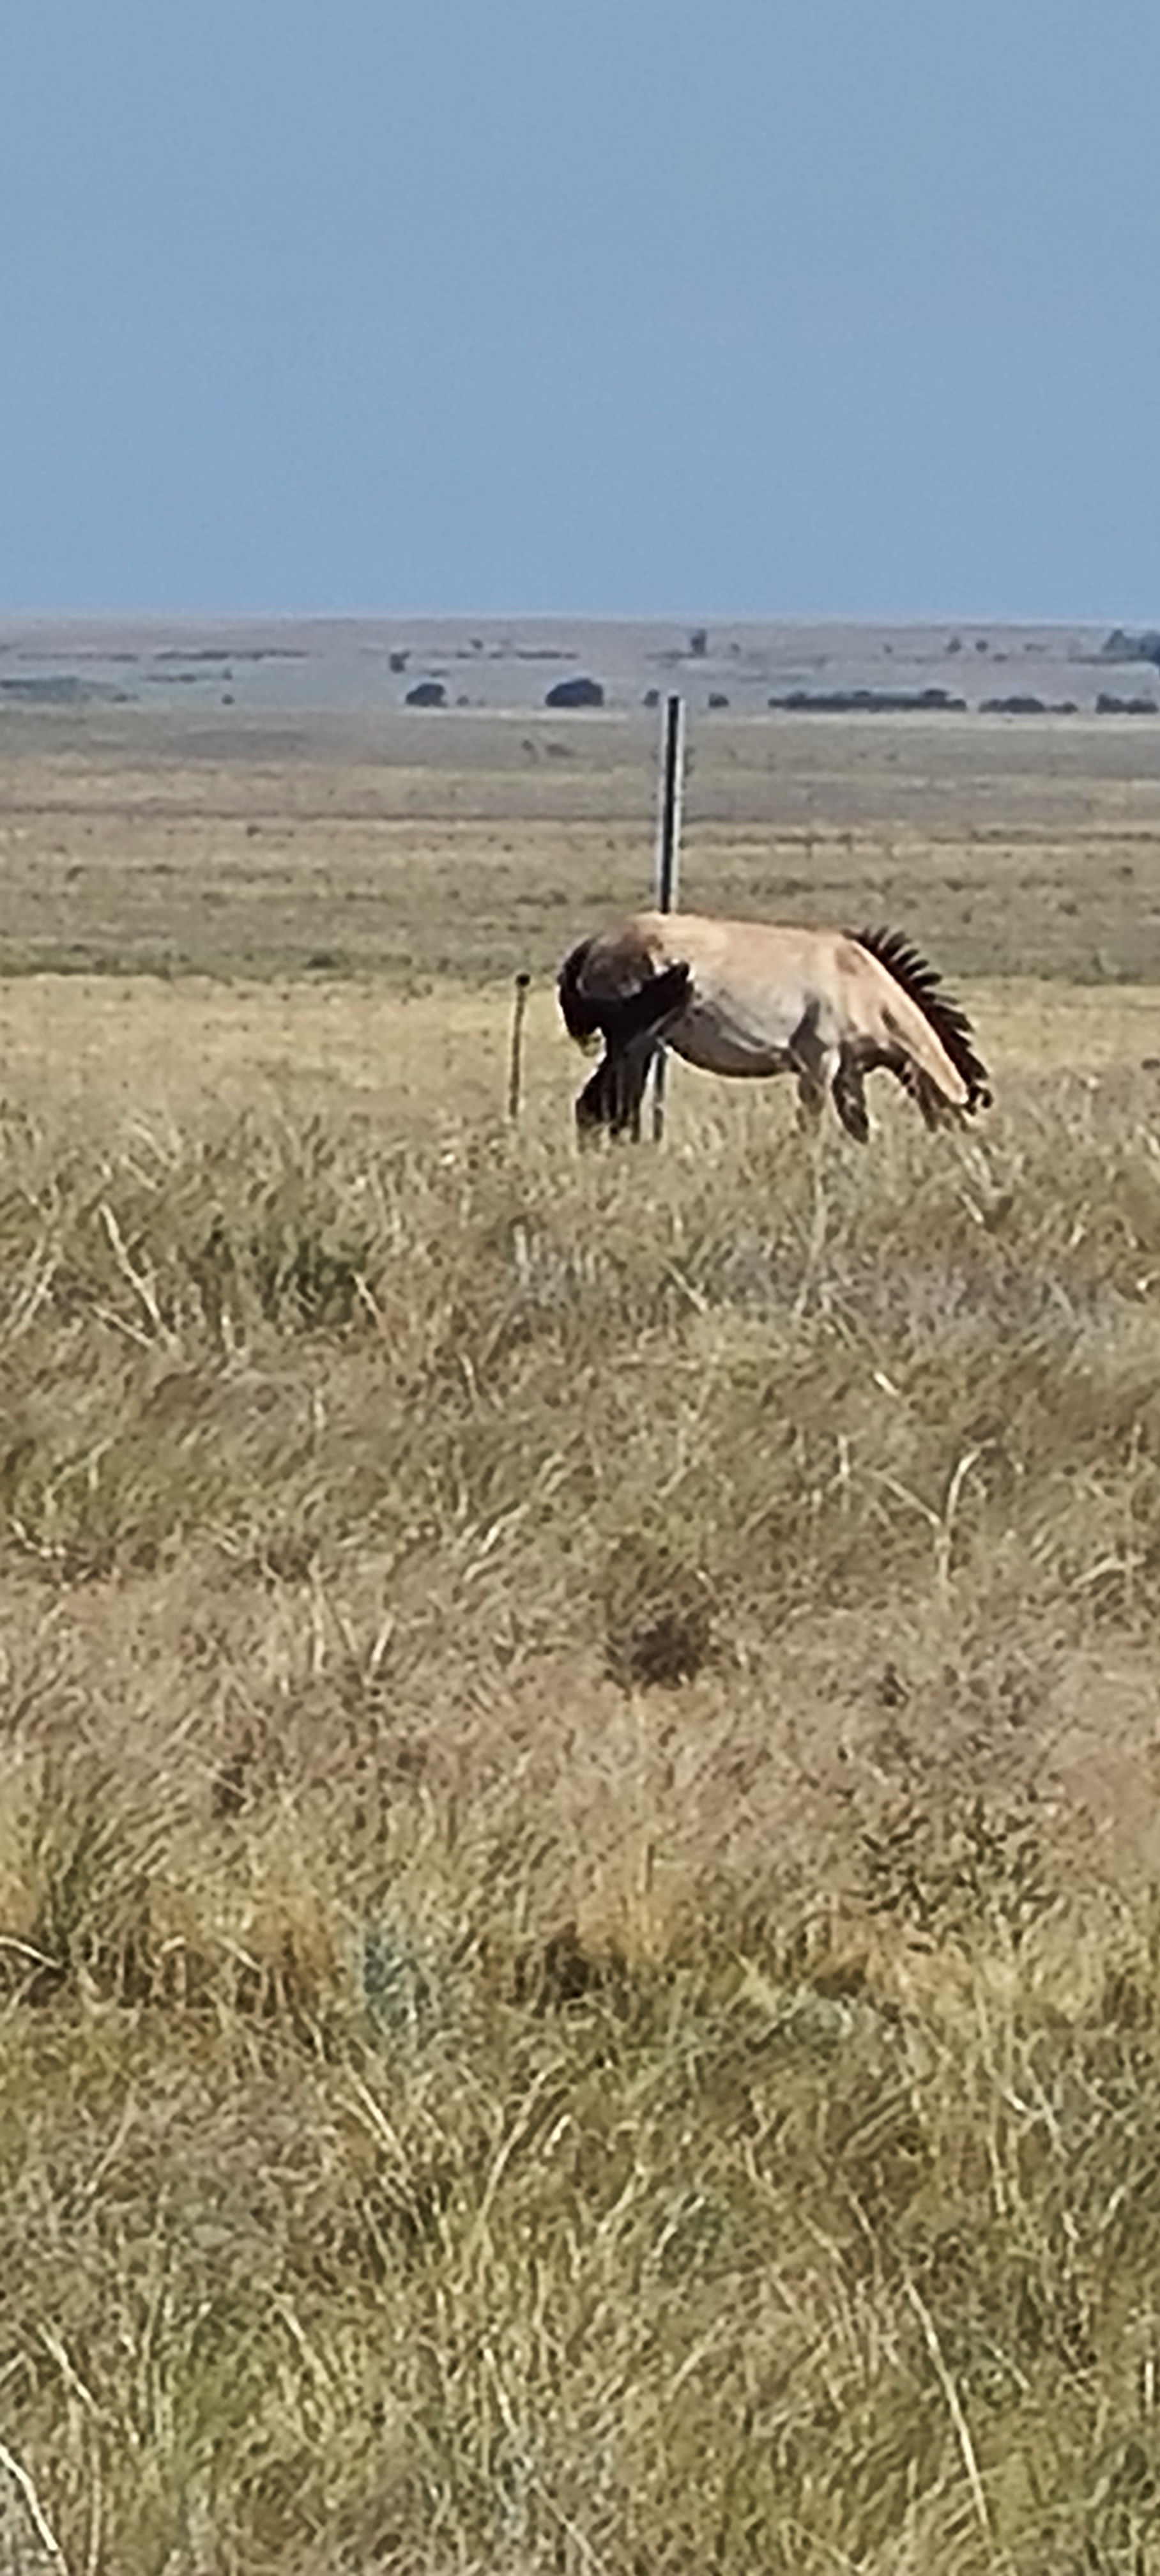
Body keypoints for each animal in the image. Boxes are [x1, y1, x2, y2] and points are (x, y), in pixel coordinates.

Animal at [556, 912, 989, 1144]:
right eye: (963, 1121)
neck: (859, 980)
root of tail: (592, 945)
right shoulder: (819, 1063)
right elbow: (810, 1126)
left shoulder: (848, 1072)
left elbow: (859, 1128)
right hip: (635, 1043)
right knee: (605, 1108)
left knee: (600, 1108)